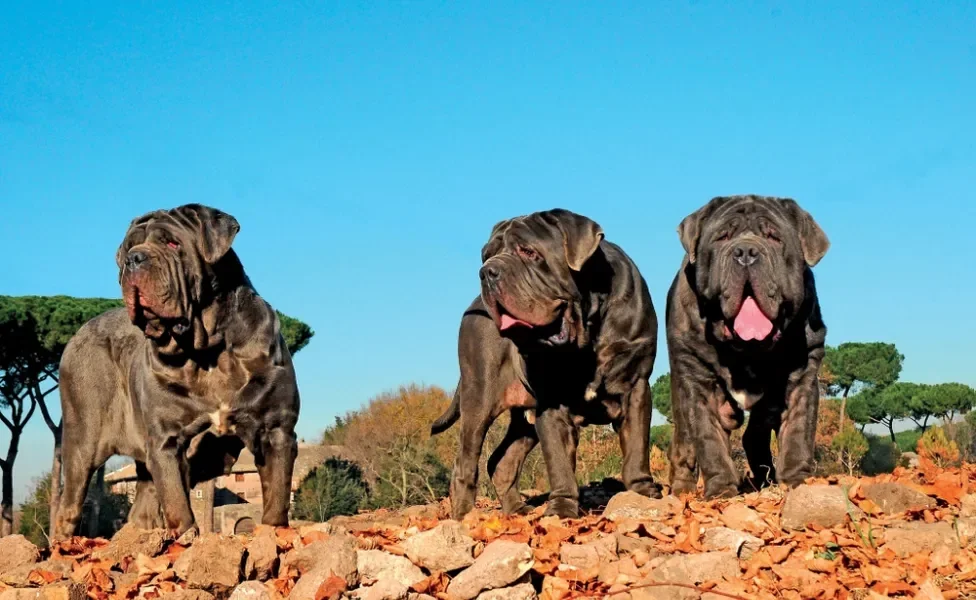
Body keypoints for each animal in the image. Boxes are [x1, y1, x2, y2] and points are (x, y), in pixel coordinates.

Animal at [52, 204, 298, 536]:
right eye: (129, 248)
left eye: (172, 243)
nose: (134, 259)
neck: (208, 350)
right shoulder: (166, 442)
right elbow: (178, 504)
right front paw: (186, 539)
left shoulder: (277, 430)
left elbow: (277, 497)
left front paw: (273, 536)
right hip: (82, 441)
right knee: (69, 506)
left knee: (140, 510)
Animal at [430, 209, 660, 516]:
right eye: (486, 255)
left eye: (529, 251)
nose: (487, 271)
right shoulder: (551, 402)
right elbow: (559, 460)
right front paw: (561, 509)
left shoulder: (635, 387)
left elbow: (637, 446)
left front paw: (642, 492)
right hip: (478, 398)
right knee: (466, 463)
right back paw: (464, 517)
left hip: (523, 420)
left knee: (501, 460)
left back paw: (517, 510)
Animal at [672, 196, 832, 496]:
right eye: (722, 237)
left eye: (773, 237)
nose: (745, 251)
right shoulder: (698, 381)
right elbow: (709, 439)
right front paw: (721, 489)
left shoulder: (802, 376)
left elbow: (798, 433)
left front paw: (795, 480)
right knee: (685, 446)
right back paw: (681, 490)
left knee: (755, 432)